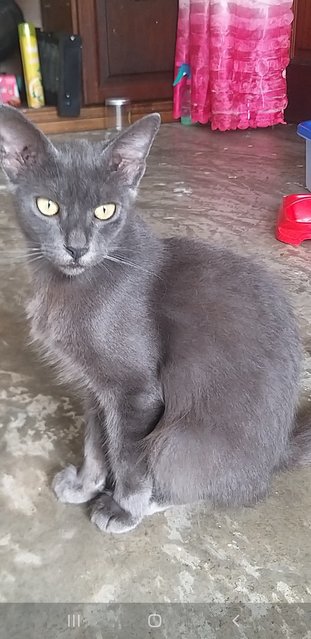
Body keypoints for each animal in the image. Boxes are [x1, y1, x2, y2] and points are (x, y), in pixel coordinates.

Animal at [0, 106, 310, 536]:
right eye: (47, 206)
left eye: (105, 211)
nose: (77, 248)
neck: (69, 284)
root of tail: (275, 458)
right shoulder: (95, 388)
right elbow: (95, 444)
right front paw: (84, 485)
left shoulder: (134, 392)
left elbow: (128, 460)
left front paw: (123, 509)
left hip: (178, 440)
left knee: (194, 483)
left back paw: (147, 503)